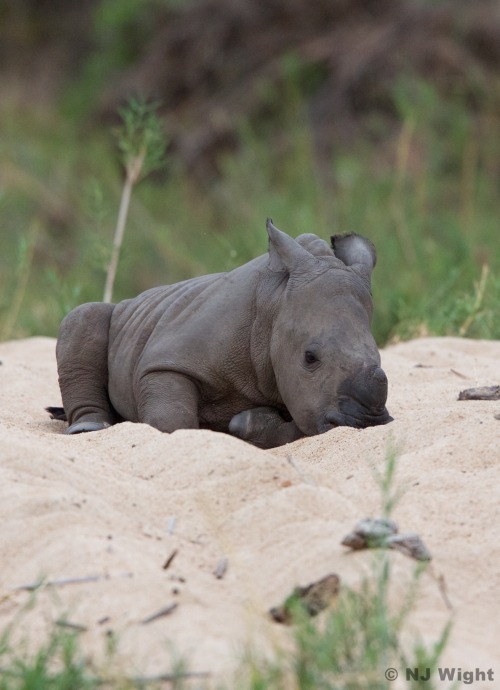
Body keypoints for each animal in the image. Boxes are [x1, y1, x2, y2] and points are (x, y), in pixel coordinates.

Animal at [49, 218, 390, 448]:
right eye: (310, 357)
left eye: (380, 357)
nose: (368, 422)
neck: (273, 306)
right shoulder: (168, 359)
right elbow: (171, 421)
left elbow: (299, 425)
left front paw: (247, 423)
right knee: (82, 317)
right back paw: (88, 428)